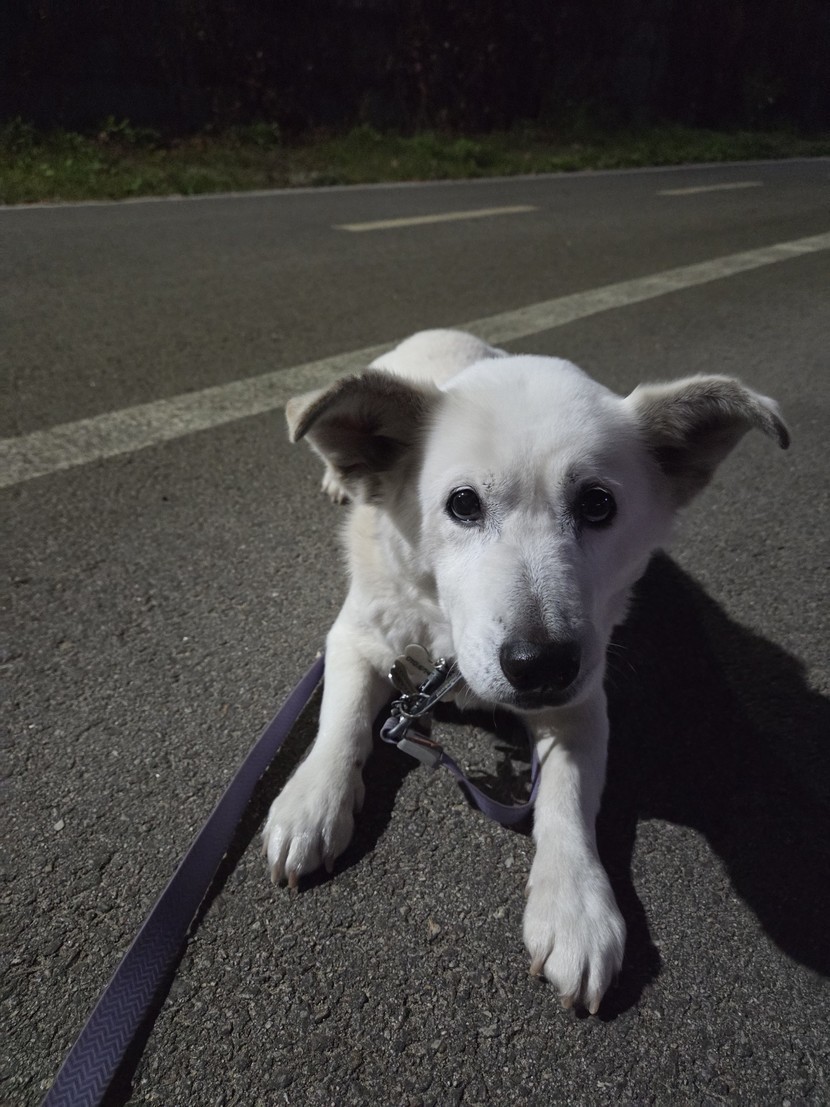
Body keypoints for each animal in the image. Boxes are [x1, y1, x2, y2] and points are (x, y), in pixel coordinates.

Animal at [262, 328, 789, 1013]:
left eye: (598, 504)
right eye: (463, 504)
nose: (540, 665)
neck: (448, 655)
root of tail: (441, 332)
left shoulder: (582, 701)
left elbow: (566, 797)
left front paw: (575, 907)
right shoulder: (353, 637)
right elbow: (342, 723)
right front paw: (312, 803)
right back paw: (337, 476)